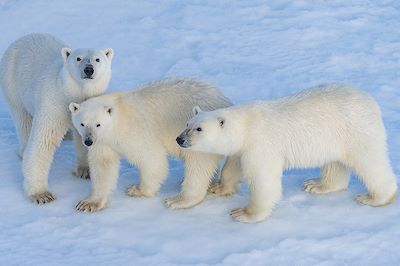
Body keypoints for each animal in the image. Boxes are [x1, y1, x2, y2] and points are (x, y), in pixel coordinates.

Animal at [0, 33, 113, 204]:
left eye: (97, 59)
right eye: (78, 58)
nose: (88, 69)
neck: (73, 92)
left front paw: (85, 170)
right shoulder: (55, 103)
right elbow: (44, 139)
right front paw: (41, 194)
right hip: (12, 84)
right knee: (23, 120)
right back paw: (23, 150)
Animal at [69, 78, 231, 212]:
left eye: (98, 124)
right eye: (82, 123)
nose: (88, 141)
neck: (118, 118)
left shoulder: (134, 131)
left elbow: (151, 158)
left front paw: (137, 190)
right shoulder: (103, 141)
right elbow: (103, 165)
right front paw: (88, 203)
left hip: (201, 136)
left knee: (198, 165)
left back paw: (179, 200)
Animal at [178, 84, 396, 223]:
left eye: (199, 129)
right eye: (187, 123)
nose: (179, 139)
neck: (246, 125)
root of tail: (370, 101)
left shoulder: (260, 144)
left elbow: (263, 180)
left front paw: (244, 213)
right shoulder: (244, 148)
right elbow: (234, 165)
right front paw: (218, 187)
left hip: (356, 130)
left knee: (369, 162)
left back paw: (376, 198)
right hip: (336, 137)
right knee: (335, 162)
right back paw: (317, 185)